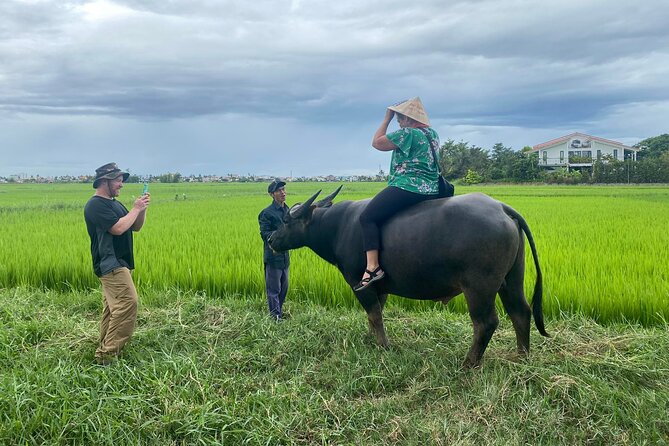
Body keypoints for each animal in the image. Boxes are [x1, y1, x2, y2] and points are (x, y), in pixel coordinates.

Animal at [268, 186, 544, 368]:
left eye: (286, 221)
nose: (270, 239)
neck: (337, 228)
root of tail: (501, 208)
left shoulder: (360, 284)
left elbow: (374, 314)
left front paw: (383, 345)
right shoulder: (380, 288)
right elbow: (375, 314)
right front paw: (370, 338)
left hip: (479, 287)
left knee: (486, 322)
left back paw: (468, 364)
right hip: (511, 279)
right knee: (520, 311)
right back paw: (522, 357)